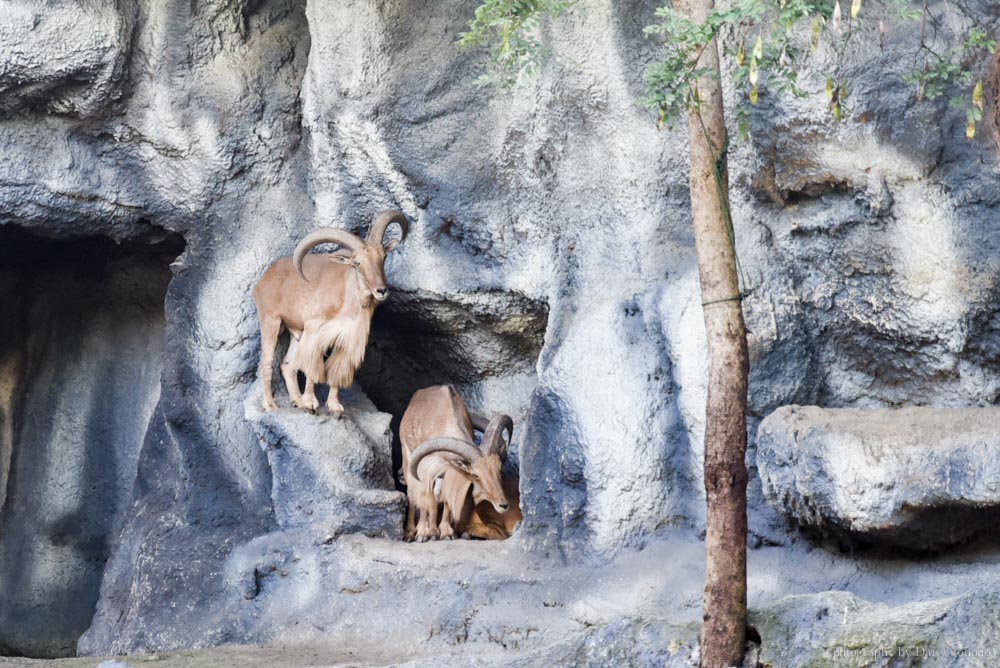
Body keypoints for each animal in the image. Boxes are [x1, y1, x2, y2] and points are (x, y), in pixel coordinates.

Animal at [252, 211, 408, 414]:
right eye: (357, 263)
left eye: (383, 257)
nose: (381, 290)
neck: (347, 299)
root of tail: (263, 280)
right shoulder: (315, 329)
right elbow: (312, 366)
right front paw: (311, 402)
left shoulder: (346, 337)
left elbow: (336, 370)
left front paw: (334, 406)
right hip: (270, 321)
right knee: (266, 363)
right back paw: (271, 405)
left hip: (296, 333)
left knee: (287, 366)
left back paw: (296, 400)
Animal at [400, 386, 520, 544]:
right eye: (475, 475)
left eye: (499, 470)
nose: (503, 505)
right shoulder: (424, 467)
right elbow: (424, 496)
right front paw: (423, 533)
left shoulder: (449, 470)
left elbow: (446, 498)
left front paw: (446, 533)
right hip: (407, 456)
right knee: (412, 494)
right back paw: (410, 532)